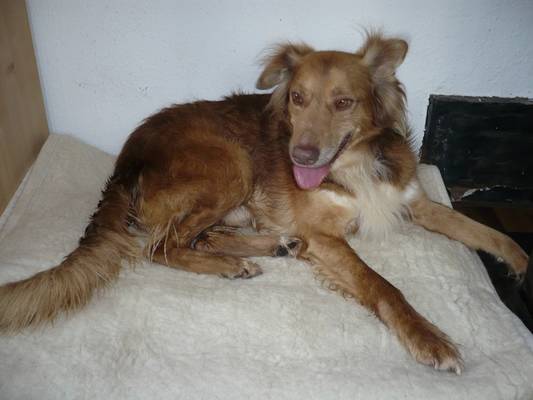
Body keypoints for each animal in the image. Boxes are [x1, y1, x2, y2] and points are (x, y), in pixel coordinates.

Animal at [0, 33, 528, 374]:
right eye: (296, 98)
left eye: (343, 103)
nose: (300, 157)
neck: (353, 163)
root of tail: (124, 160)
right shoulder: (324, 236)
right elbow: (382, 286)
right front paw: (427, 337)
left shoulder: (411, 201)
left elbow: (478, 229)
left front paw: (519, 261)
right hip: (232, 164)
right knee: (161, 246)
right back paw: (233, 265)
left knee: (198, 236)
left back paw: (268, 247)